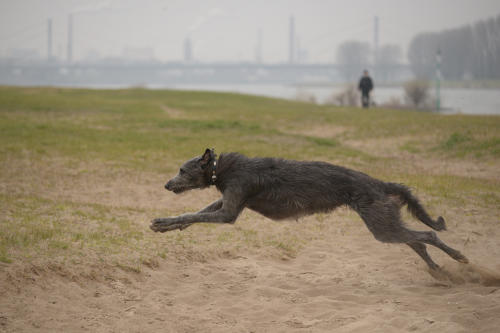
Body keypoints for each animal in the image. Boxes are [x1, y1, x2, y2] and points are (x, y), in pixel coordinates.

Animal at [152, 148, 468, 270]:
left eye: (182, 170)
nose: (166, 185)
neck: (220, 169)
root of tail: (377, 181)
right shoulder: (230, 199)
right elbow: (196, 212)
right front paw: (168, 225)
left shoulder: (232, 205)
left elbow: (198, 213)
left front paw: (163, 222)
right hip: (386, 222)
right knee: (417, 241)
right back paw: (437, 271)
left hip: (380, 223)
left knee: (428, 236)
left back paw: (458, 258)